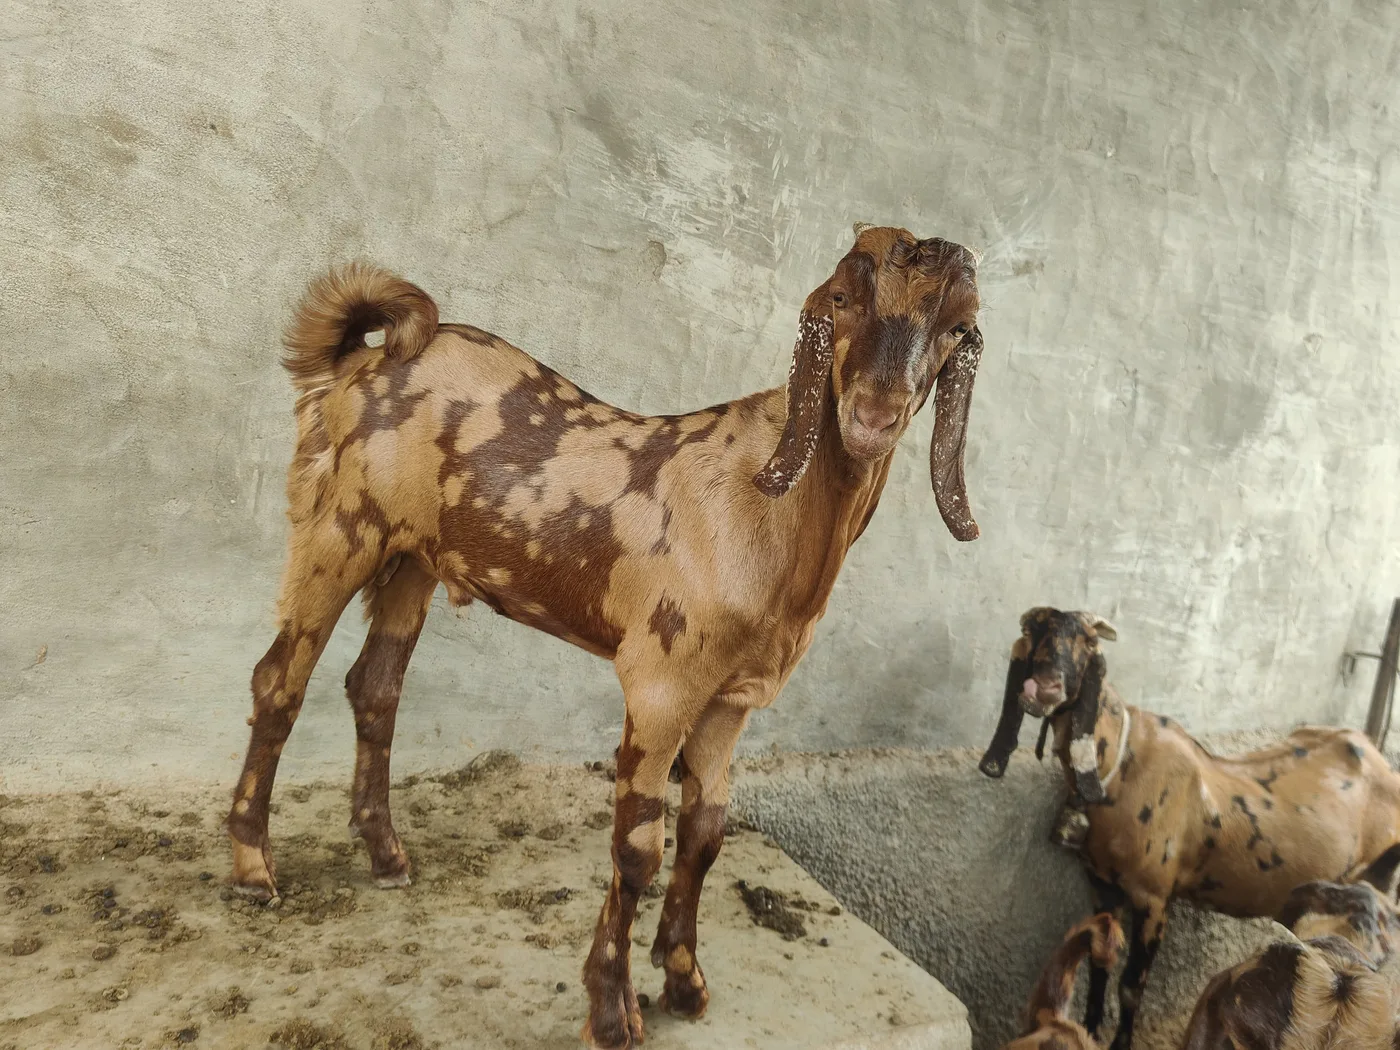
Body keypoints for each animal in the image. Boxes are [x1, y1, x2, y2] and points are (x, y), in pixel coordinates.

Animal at [224, 225, 987, 1049]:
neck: (764, 508)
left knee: (374, 686)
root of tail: (358, 359)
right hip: (339, 527)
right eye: (842, 298)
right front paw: (612, 1009)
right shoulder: (660, 682)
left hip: (412, 560)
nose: (873, 414)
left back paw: (387, 853)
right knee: (279, 680)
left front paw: (684, 980)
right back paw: (252, 869)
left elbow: (706, 835)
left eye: (955, 329)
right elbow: (637, 849)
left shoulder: (730, 701)